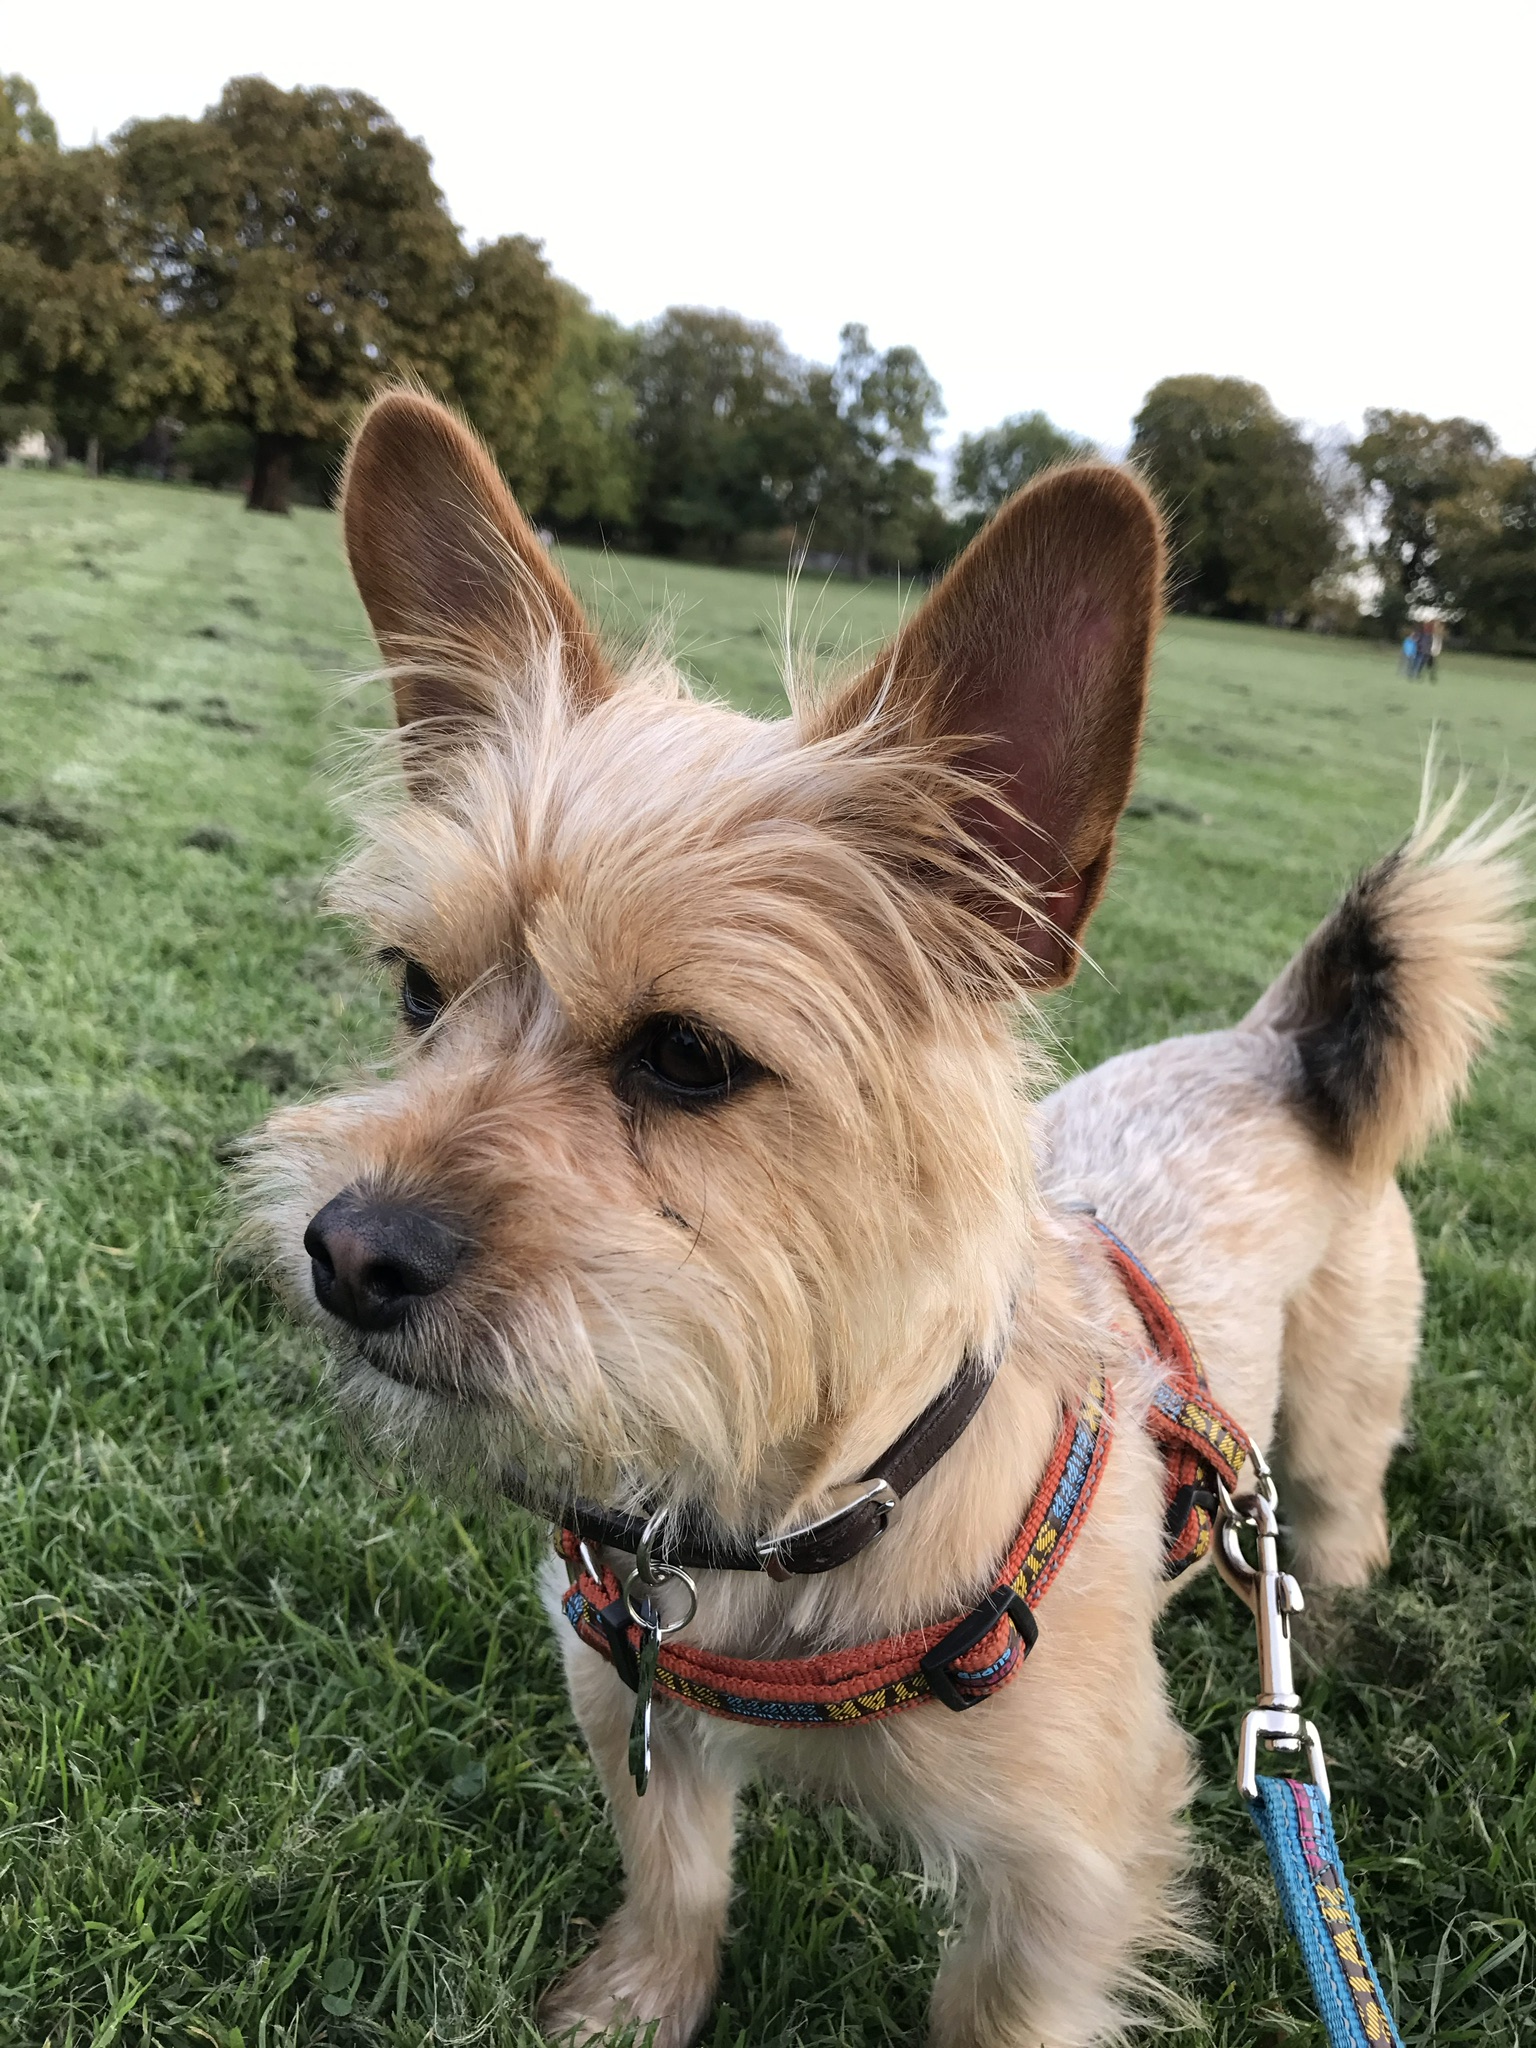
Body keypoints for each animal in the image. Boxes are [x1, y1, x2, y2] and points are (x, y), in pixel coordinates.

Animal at [246, 389, 1527, 2047]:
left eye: (688, 1056)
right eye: (417, 991)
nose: (346, 1255)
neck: (775, 1517)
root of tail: (1270, 1046)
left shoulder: (1066, 1872)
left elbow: (994, 2009)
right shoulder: (627, 1709)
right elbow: (678, 1886)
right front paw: (631, 2005)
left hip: (1345, 1409)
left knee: (1343, 1511)